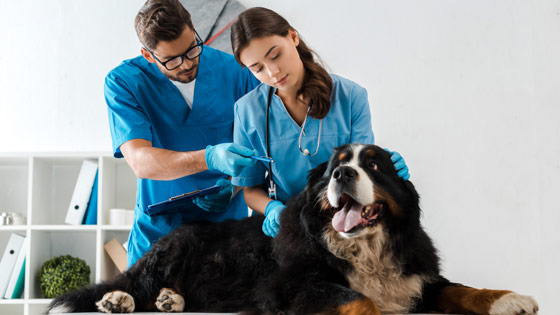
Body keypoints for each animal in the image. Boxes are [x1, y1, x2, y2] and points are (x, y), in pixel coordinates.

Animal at [46, 144, 536, 314]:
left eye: (375, 165)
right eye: (337, 164)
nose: (342, 175)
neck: (364, 251)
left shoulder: (417, 276)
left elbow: (462, 288)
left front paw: (510, 299)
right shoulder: (290, 285)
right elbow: (357, 299)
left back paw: (172, 300)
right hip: (175, 247)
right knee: (136, 281)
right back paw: (119, 299)